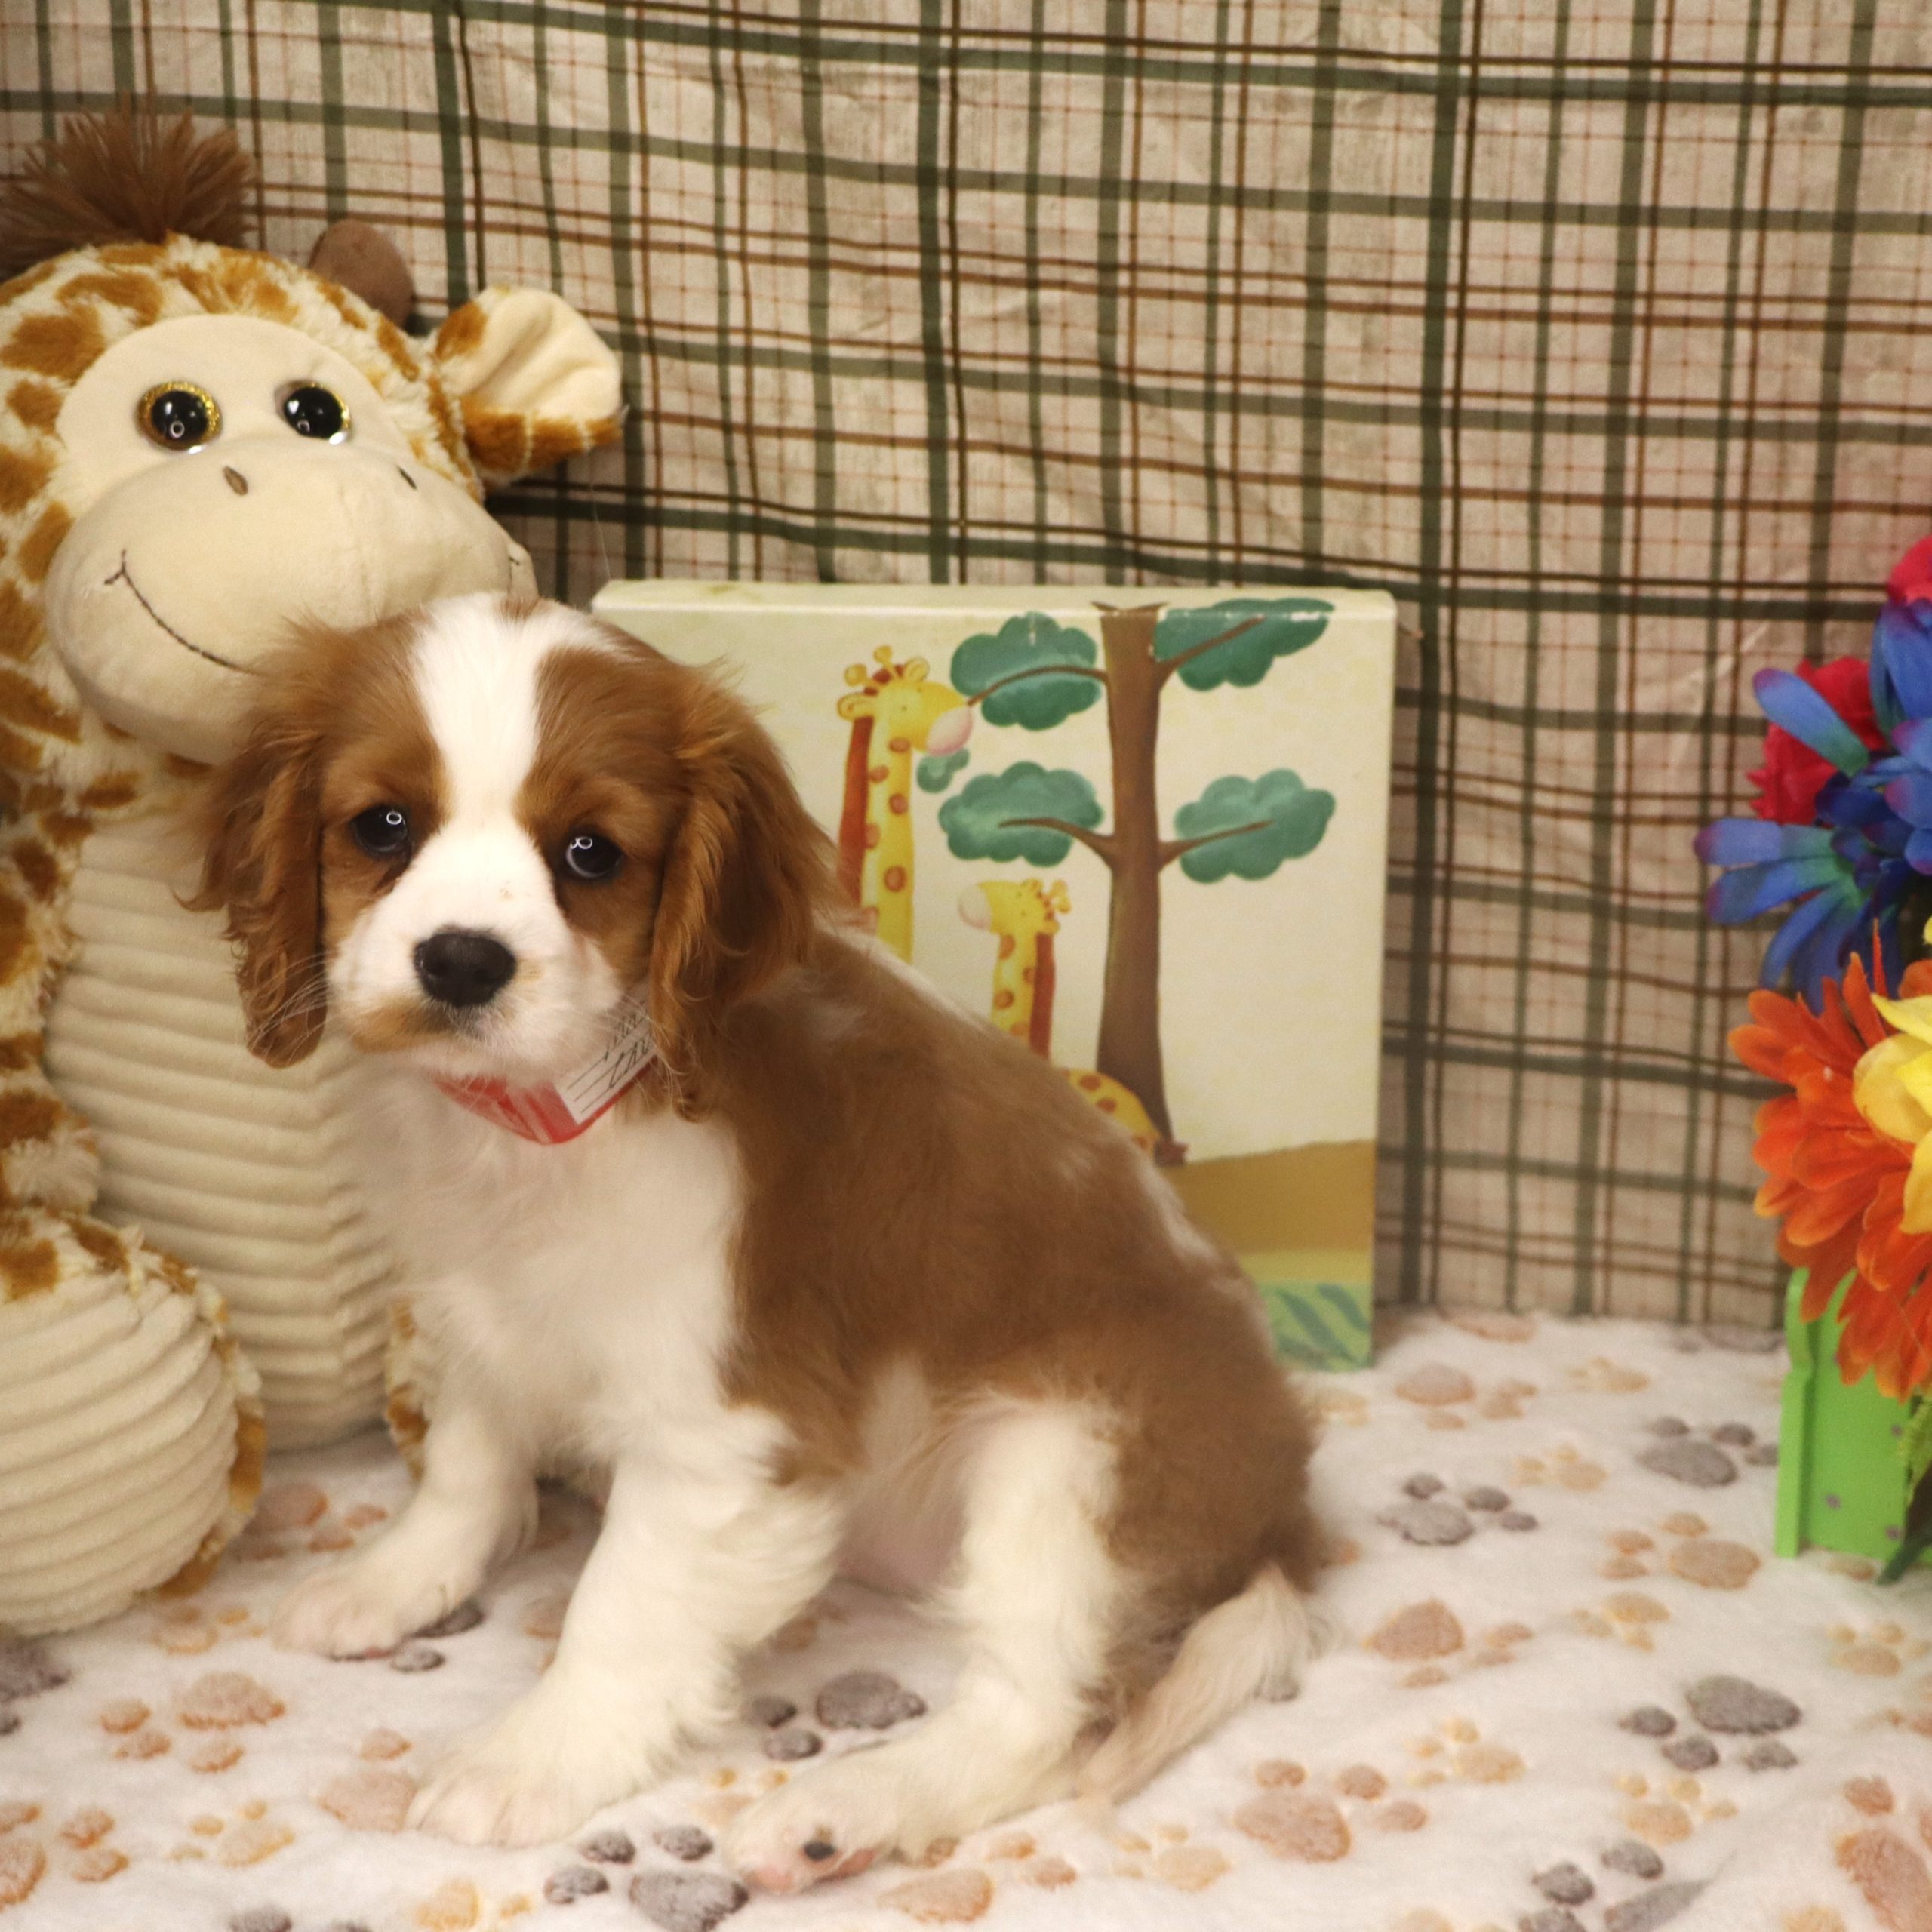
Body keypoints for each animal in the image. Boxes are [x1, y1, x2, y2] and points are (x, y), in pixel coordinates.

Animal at [191, 592, 1326, 1881]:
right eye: (382, 827)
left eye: (590, 853)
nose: (462, 960)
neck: (561, 1114)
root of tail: (1286, 1512)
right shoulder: (477, 1308)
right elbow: (470, 1460)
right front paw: (399, 1577)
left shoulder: (722, 1437)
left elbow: (620, 1611)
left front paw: (531, 1758)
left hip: (1076, 1464)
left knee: (1035, 1717)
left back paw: (841, 1812)